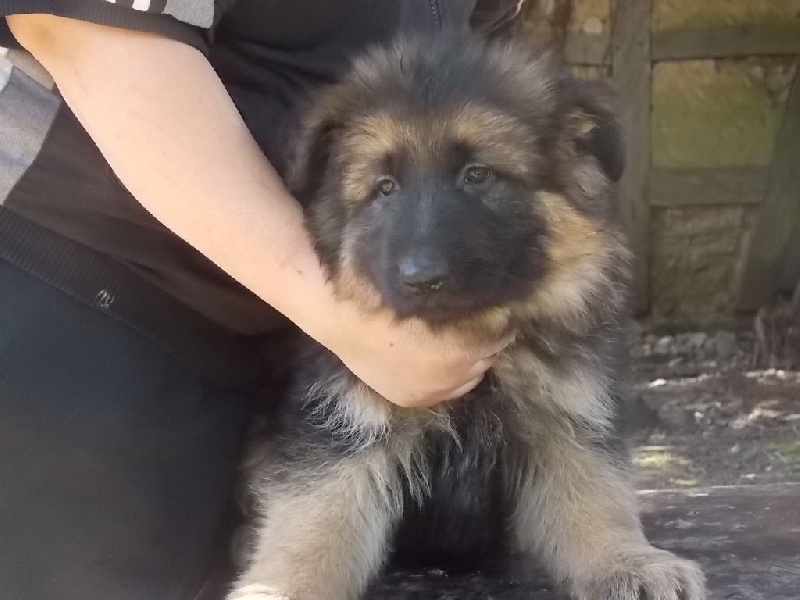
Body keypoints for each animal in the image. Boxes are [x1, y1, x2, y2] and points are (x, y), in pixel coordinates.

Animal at [228, 32, 707, 600]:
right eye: (385, 187)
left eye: (477, 175)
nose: (421, 277)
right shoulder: (341, 421)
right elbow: (313, 519)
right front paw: (278, 586)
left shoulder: (568, 414)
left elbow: (595, 495)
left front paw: (627, 562)